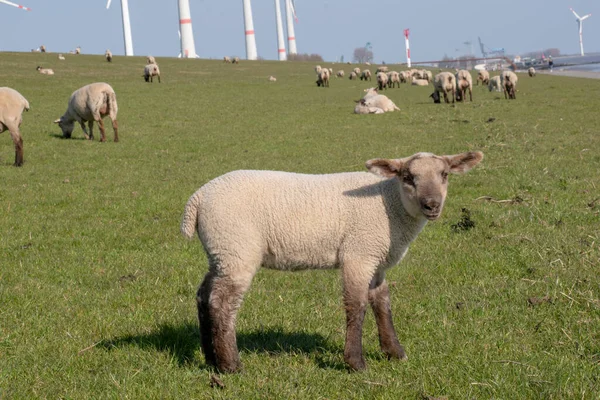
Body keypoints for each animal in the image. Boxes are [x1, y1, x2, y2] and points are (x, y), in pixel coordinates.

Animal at [182, 150, 482, 372]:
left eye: (444, 175)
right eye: (408, 177)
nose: (432, 205)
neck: (390, 203)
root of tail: (197, 198)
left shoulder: (376, 261)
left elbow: (382, 304)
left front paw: (394, 352)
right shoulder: (358, 254)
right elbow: (356, 306)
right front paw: (356, 363)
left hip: (220, 252)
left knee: (204, 296)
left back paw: (210, 358)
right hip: (237, 248)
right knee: (222, 303)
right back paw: (231, 366)